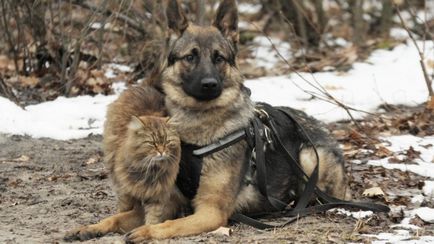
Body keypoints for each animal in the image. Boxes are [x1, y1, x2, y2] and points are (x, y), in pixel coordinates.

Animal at [64, 0, 350, 241]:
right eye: (190, 57)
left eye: (219, 58)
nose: (210, 84)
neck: (196, 131)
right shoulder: (168, 200)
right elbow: (119, 217)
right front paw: (92, 227)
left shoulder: (209, 211)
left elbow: (168, 224)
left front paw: (147, 231)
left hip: (309, 157)